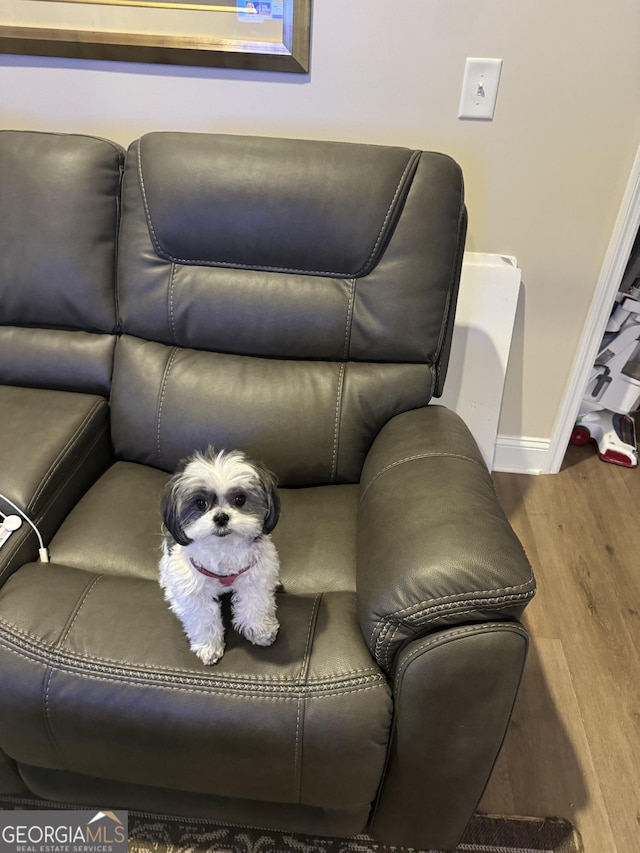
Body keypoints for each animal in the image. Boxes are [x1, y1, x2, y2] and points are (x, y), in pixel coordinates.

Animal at [159, 446, 280, 664]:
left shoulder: (255, 576)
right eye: (200, 503)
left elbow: (255, 603)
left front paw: (260, 630)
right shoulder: (194, 590)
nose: (221, 517)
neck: (223, 547)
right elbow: (203, 618)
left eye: (240, 499)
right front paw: (208, 646)